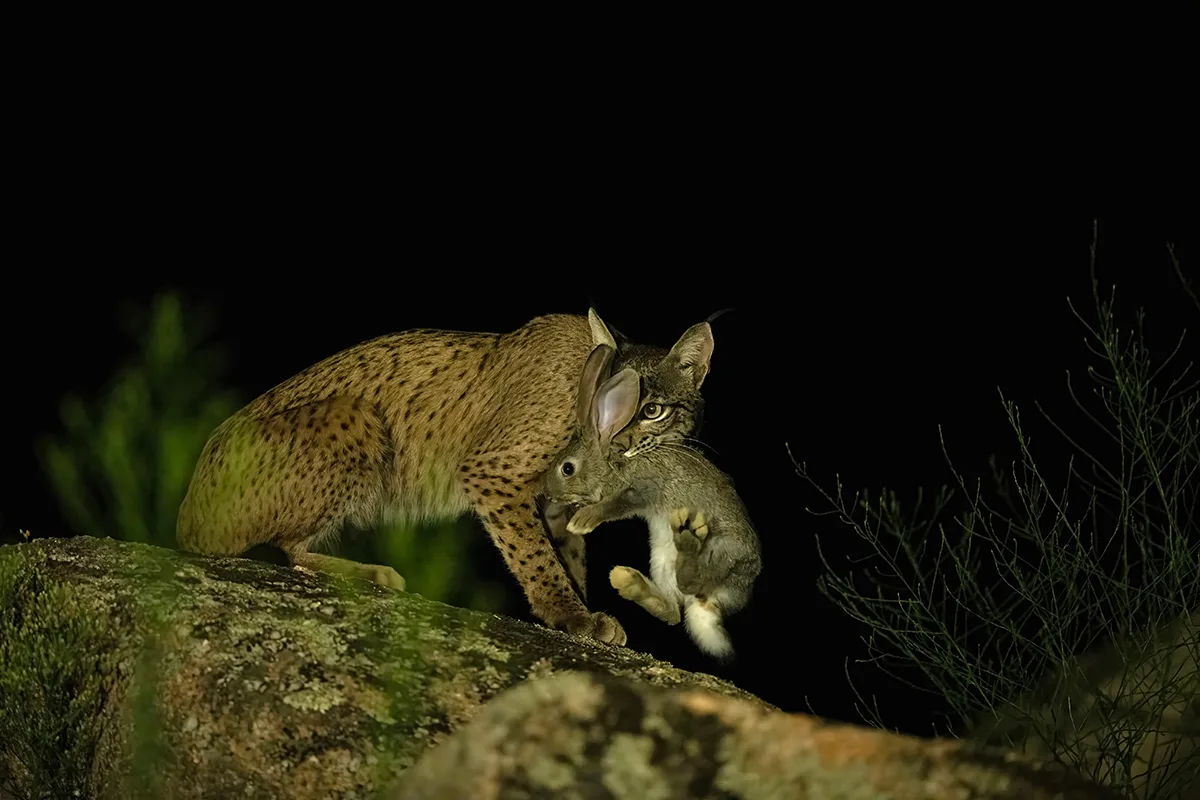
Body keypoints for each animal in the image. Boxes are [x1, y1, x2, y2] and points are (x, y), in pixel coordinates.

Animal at [542, 343, 762, 661]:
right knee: (674, 610)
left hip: (720, 552)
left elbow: (615, 506)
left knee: (692, 581)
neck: (611, 460)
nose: (546, 492)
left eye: (567, 469)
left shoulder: (641, 490)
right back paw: (627, 581)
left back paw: (687, 539)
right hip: (660, 562)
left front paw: (581, 521)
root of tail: (712, 605)